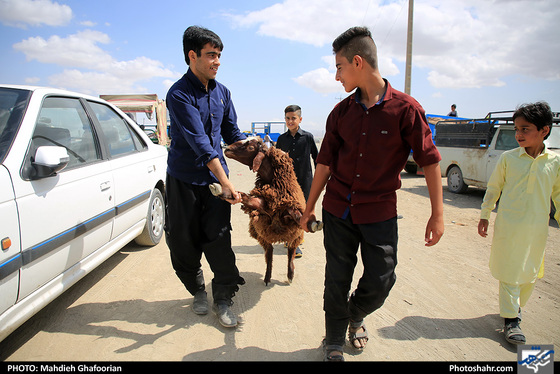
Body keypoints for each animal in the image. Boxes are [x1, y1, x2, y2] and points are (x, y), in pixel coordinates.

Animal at [211, 136, 324, 284]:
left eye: (250, 147)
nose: (227, 149)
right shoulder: (262, 206)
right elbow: (245, 197)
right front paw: (223, 191)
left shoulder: (288, 209)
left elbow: (297, 216)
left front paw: (313, 224)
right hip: (265, 236)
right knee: (269, 254)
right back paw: (267, 277)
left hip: (295, 235)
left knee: (291, 252)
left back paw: (290, 275)